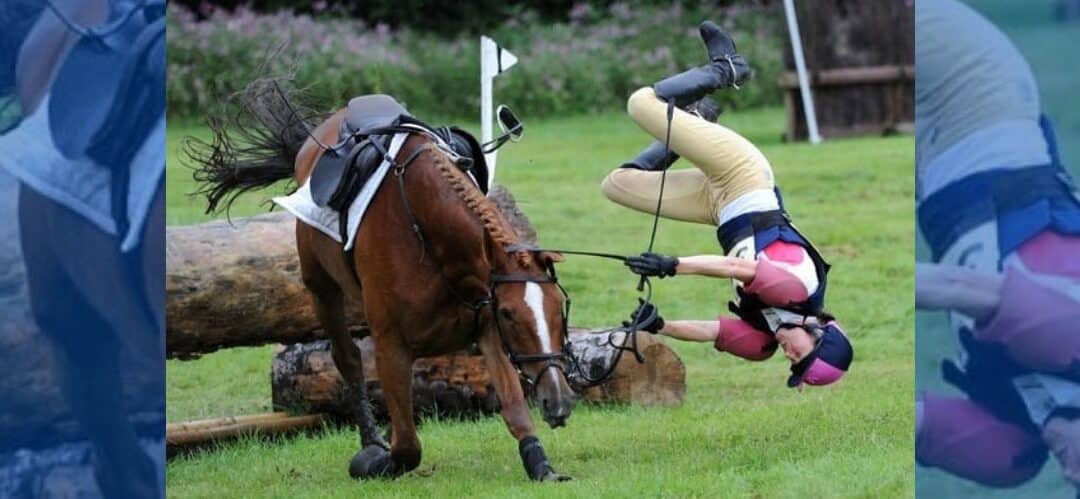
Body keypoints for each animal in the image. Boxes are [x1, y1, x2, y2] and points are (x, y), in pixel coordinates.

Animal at [187, 83, 574, 481]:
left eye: (558, 307)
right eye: (511, 313)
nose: (559, 401)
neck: (432, 234)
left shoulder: (487, 326)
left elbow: (514, 409)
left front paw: (541, 464)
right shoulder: (391, 342)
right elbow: (407, 448)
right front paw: (375, 458)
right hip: (321, 287)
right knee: (348, 358)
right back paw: (372, 440)